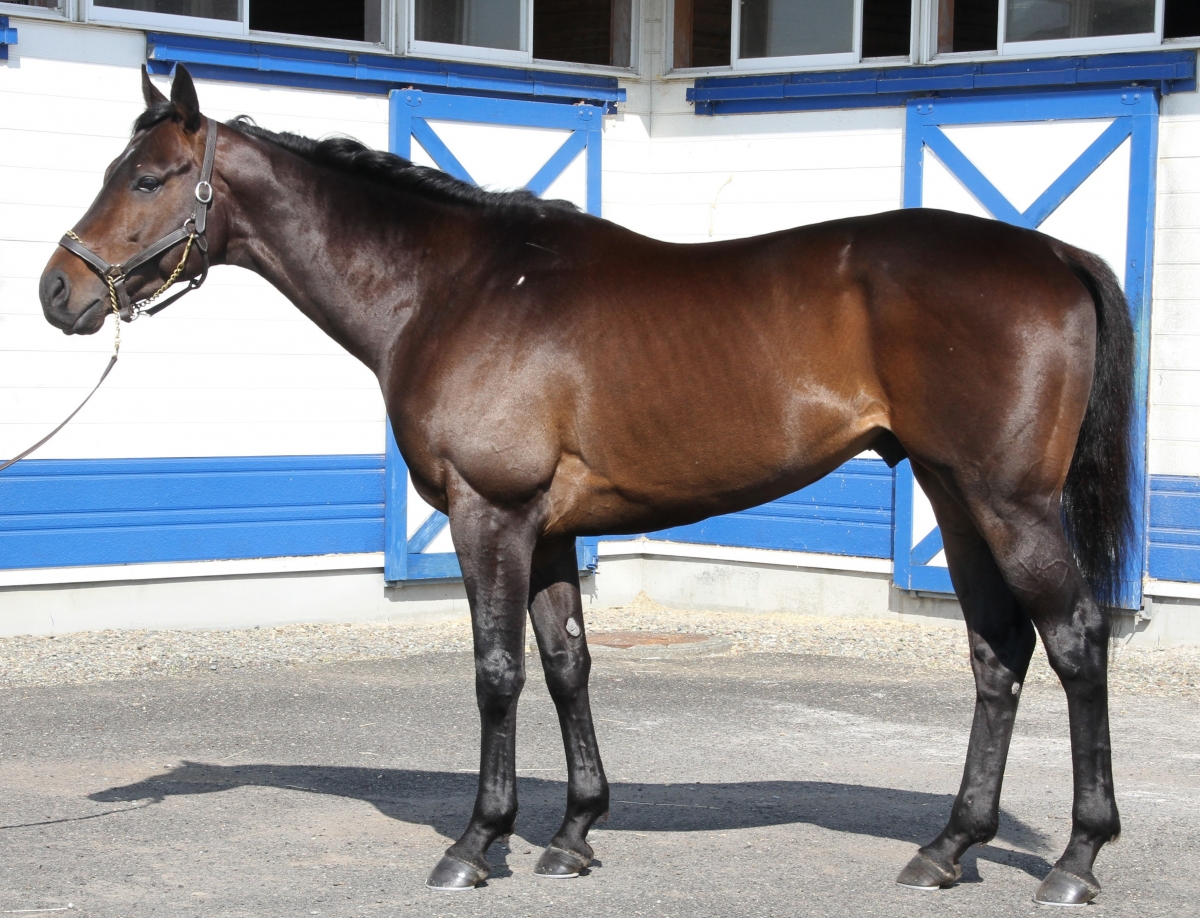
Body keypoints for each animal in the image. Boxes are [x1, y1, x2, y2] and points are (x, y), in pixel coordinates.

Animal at [37, 65, 1133, 905]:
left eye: (148, 177)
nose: (59, 290)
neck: (450, 290)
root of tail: (1053, 249)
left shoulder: (490, 517)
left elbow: (498, 673)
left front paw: (478, 842)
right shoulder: (553, 530)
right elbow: (568, 666)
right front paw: (572, 835)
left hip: (1008, 504)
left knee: (1075, 643)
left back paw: (1077, 860)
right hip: (955, 497)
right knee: (996, 654)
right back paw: (947, 849)